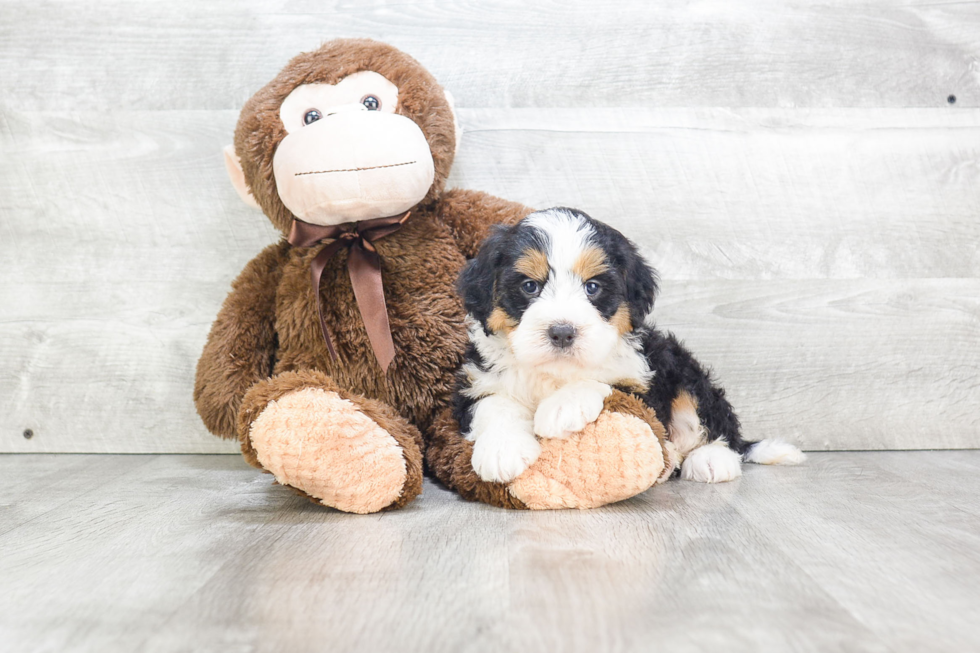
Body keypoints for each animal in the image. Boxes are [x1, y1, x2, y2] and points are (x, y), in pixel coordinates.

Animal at [452, 208, 804, 484]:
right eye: (529, 286)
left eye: (592, 287)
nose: (563, 332)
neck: (557, 373)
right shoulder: (476, 380)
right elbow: (494, 403)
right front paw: (502, 449)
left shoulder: (645, 382)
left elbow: (610, 383)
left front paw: (563, 406)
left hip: (684, 371)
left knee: (714, 424)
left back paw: (712, 460)